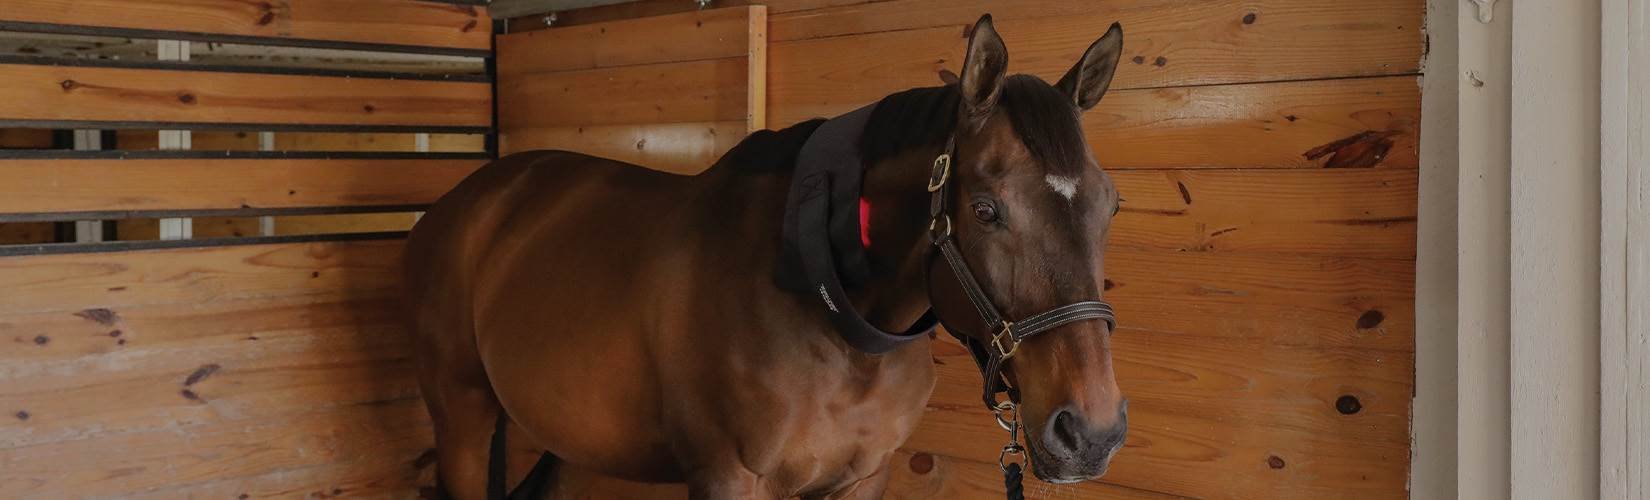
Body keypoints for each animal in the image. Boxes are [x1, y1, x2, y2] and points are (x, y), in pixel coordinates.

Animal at [403, 14, 1127, 499]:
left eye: (1110, 204)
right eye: (985, 209)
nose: (1090, 432)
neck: (831, 312)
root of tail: (460, 205)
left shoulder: (865, 477)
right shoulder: (728, 475)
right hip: (462, 417)